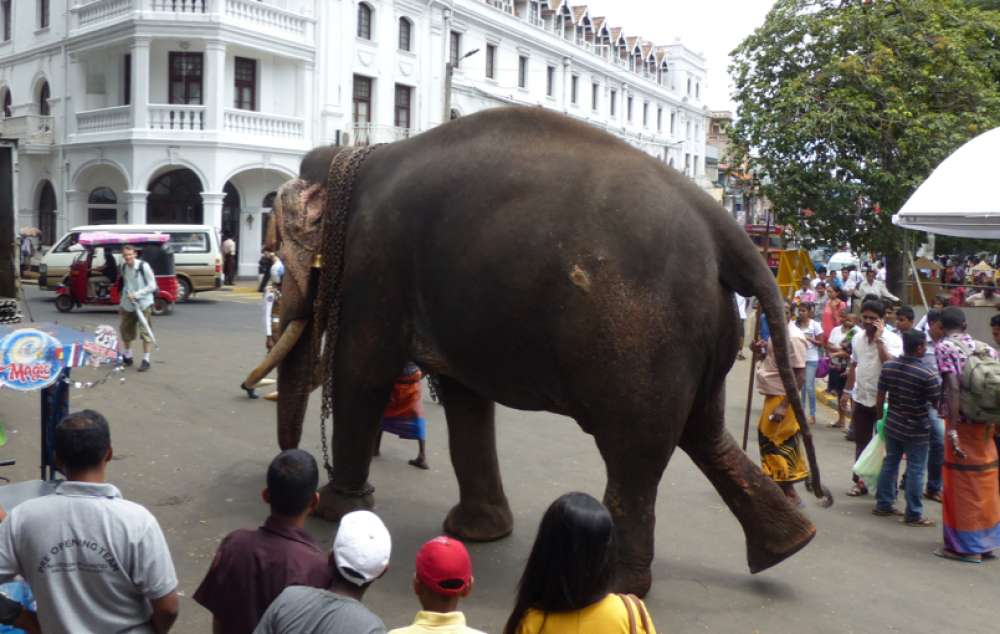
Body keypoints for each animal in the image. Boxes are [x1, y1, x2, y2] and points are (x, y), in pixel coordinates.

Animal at [242, 106, 828, 596]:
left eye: (279, 246)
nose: (295, 473)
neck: (355, 163)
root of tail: (725, 228)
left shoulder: (374, 263)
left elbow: (363, 371)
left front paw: (339, 510)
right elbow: (465, 398)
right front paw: (477, 533)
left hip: (642, 339)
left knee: (636, 452)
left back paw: (620, 587)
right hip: (701, 334)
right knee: (702, 433)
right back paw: (788, 546)